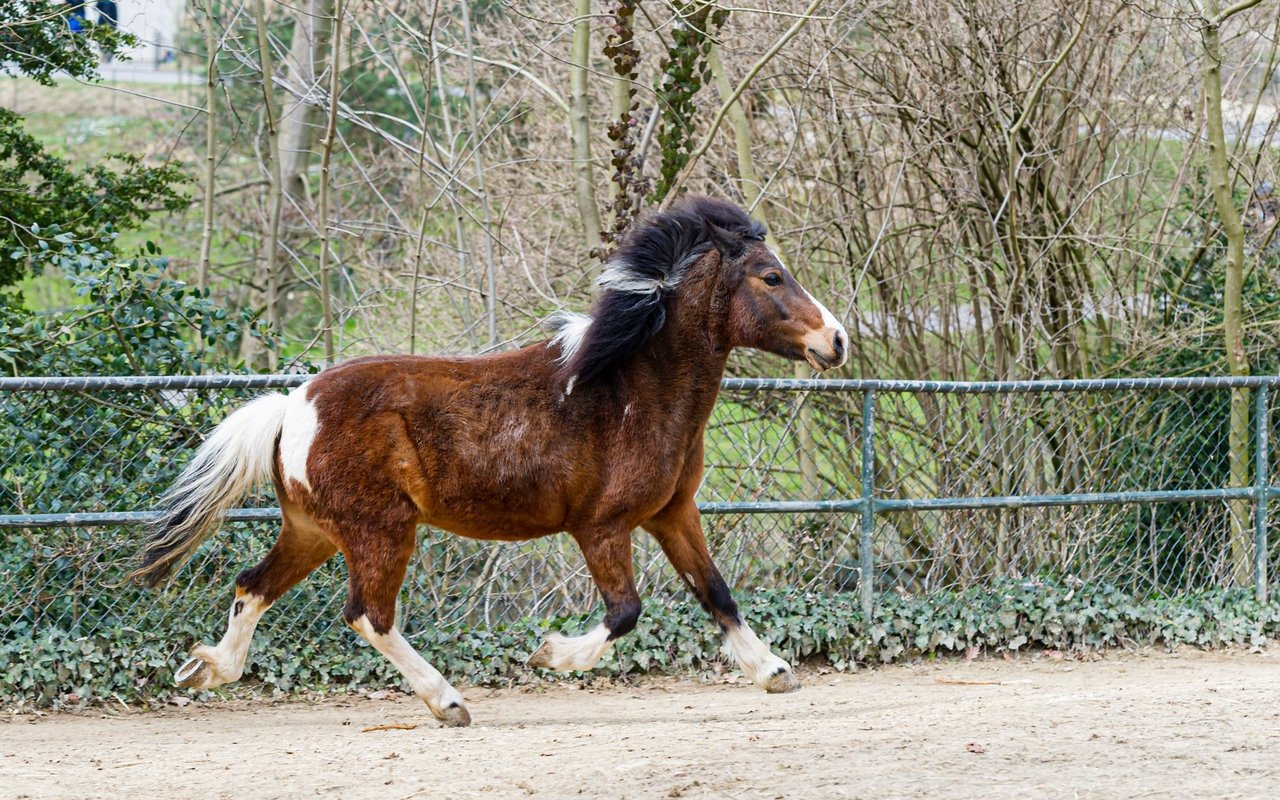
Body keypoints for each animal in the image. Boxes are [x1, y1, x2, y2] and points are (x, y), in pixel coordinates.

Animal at [132, 193, 849, 721]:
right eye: (771, 276)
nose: (837, 340)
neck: (629, 388)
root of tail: (292, 407)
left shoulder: (673, 513)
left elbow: (715, 592)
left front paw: (775, 672)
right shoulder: (602, 528)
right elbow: (626, 613)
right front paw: (549, 654)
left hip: (312, 530)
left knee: (252, 585)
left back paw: (205, 668)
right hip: (380, 532)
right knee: (367, 615)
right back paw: (447, 701)